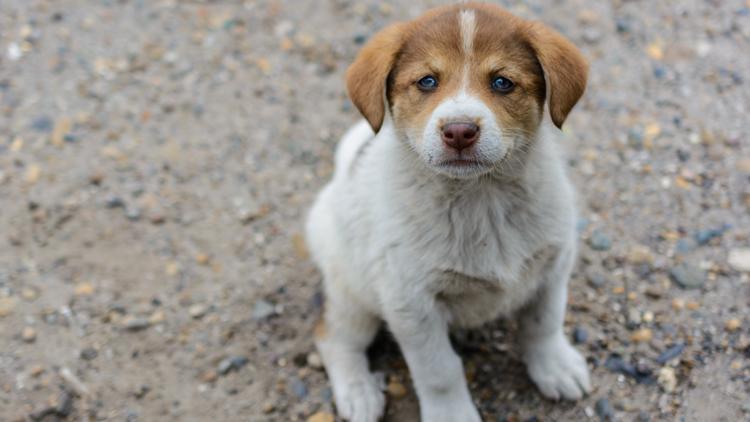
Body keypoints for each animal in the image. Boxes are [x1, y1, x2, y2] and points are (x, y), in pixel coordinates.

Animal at [306, 3, 592, 422]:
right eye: (427, 81)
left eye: (502, 82)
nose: (459, 131)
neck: (481, 200)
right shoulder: (411, 301)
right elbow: (439, 370)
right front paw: (452, 414)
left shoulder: (553, 265)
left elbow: (544, 323)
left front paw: (555, 367)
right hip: (352, 294)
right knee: (333, 338)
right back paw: (358, 391)